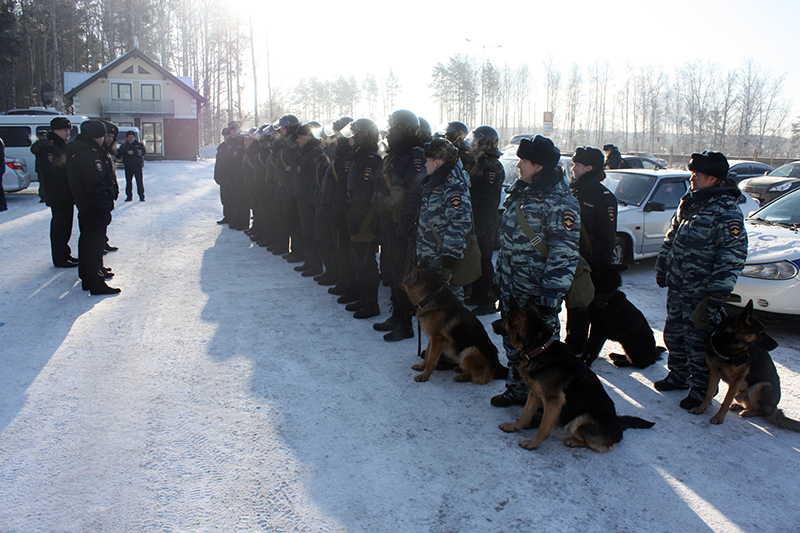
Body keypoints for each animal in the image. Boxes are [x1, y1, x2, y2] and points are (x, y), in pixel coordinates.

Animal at [494, 298, 656, 450]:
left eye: (506, 317)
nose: (492, 324)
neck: (540, 348)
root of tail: (619, 427)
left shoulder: (553, 402)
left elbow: (543, 428)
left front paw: (533, 443)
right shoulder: (534, 395)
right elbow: (525, 415)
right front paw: (513, 427)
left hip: (582, 417)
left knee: (597, 445)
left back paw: (573, 441)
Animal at [688, 298, 800, 430]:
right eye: (760, 331)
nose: (777, 344)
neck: (727, 349)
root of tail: (775, 407)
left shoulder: (737, 379)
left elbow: (726, 400)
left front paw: (719, 417)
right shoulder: (714, 372)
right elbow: (708, 394)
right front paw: (701, 409)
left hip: (760, 387)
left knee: (765, 412)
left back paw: (748, 412)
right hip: (740, 393)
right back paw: (738, 406)